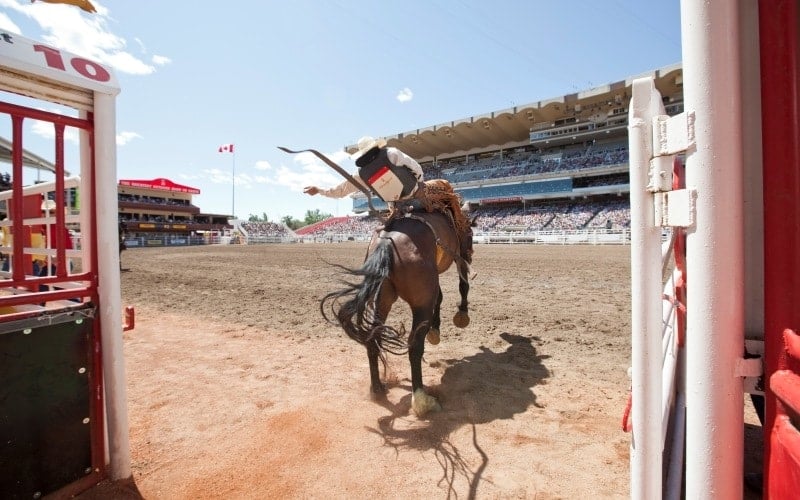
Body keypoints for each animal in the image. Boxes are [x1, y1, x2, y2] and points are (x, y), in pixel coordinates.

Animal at [320, 209, 472, 416]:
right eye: (470, 234)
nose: (471, 251)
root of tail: (387, 242)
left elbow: (440, 296)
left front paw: (436, 330)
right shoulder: (460, 253)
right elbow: (463, 284)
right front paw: (461, 316)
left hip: (382, 300)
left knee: (372, 339)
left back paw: (377, 388)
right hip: (421, 304)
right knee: (414, 346)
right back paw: (422, 400)